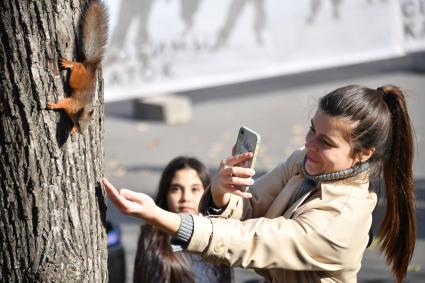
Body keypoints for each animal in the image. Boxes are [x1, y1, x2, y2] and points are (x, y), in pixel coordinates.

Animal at [47, 0, 107, 135]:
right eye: (80, 122)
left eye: (89, 123)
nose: (82, 132)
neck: (78, 110)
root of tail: (89, 66)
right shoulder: (71, 103)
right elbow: (62, 103)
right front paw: (54, 105)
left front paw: (73, 129)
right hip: (76, 77)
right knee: (76, 65)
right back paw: (69, 64)